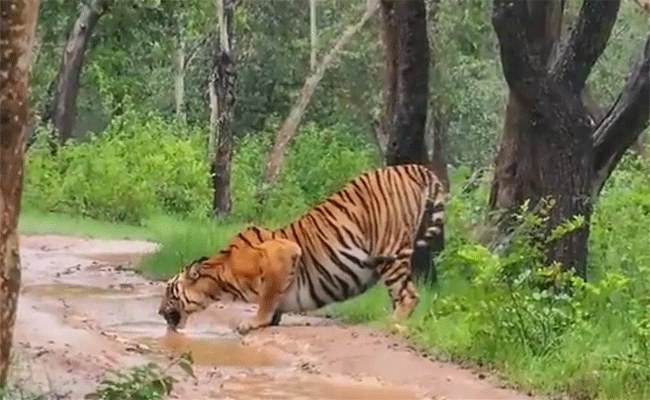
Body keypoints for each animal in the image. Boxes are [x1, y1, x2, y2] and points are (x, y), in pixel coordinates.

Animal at [159, 163, 446, 334]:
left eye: (169, 292)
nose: (159, 312)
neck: (220, 279)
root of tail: (412, 167)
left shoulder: (282, 253)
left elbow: (267, 297)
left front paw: (253, 322)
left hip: (390, 250)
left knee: (409, 295)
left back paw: (388, 324)